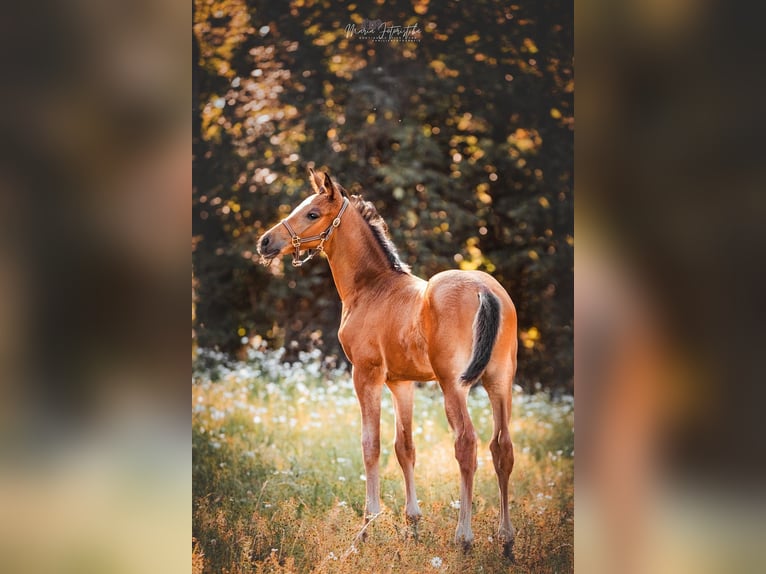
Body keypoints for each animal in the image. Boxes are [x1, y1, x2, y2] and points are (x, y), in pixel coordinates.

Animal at [260, 169, 520, 556]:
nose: (265, 242)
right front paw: (412, 526)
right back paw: (506, 540)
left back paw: (464, 537)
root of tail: (484, 289)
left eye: (312, 213)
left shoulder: (366, 374)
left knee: (466, 444)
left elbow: (372, 445)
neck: (372, 288)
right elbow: (405, 447)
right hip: (500, 381)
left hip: (453, 385)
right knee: (502, 448)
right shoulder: (401, 382)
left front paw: (365, 529)